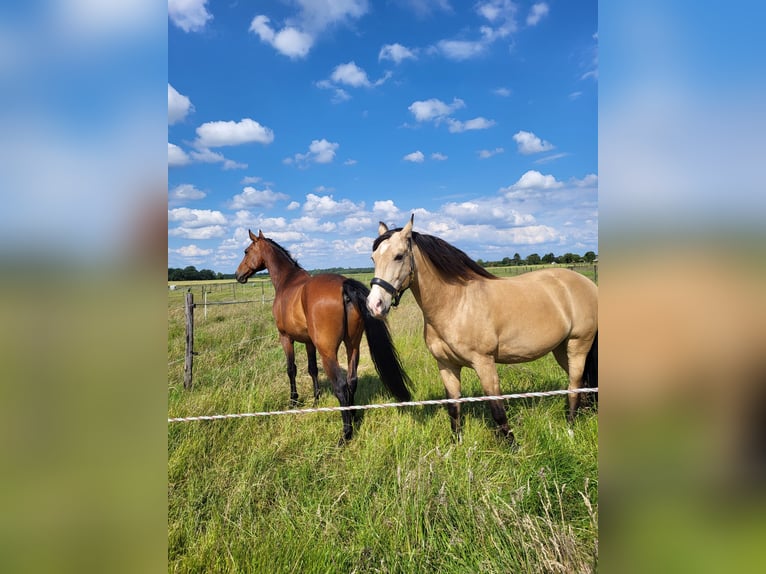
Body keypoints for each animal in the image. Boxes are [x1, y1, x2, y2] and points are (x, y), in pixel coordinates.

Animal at [236, 231, 412, 446]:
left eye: (246, 251)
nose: (238, 274)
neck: (287, 282)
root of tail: (344, 286)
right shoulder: (309, 342)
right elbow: (312, 369)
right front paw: (316, 399)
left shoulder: (286, 338)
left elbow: (291, 369)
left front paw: (293, 400)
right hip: (353, 346)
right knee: (352, 380)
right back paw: (353, 416)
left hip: (328, 352)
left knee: (341, 385)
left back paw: (346, 433)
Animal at [368, 217, 600, 446]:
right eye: (373, 258)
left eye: (399, 256)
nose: (374, 305)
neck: (456, 303)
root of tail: (588, 283)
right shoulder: (446, 366)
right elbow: (454, 409)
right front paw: (455, 448)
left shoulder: (484, 363)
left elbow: (497, 410)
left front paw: (513, 448)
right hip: (561, 349)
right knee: (582, 384)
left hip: (578, 346)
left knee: (574, 386)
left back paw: (569, 431)